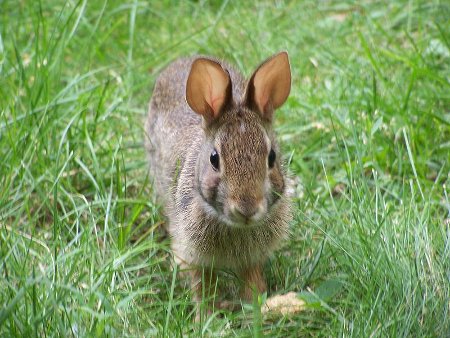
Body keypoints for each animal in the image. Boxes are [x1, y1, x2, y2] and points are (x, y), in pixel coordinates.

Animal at [144, 50, 292, 316]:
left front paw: (256, 307)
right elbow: (202, 285)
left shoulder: (252, 257)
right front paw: (206, 317)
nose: (246, 208)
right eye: (214, 159)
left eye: (272, 157)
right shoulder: (195, 252)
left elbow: (252, 280)